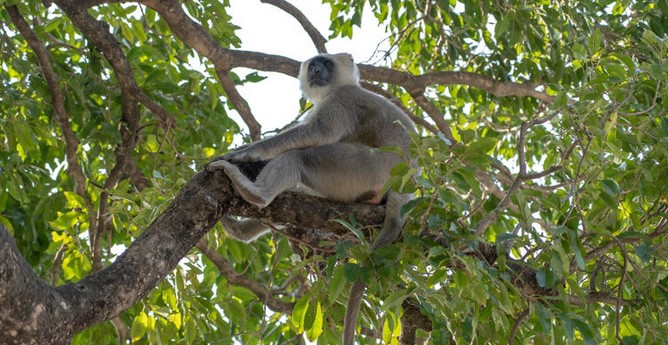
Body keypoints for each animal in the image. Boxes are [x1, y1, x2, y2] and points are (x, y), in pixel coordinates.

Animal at [206, 52, 414, 342]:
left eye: (326, 64)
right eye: (313, 65)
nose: (315, 70)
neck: (340, 86)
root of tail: (406, 184)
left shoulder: (343, 101)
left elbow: (316, 134)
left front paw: (242, 153)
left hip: (365, 168)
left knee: (298, 157)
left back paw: (255, 194)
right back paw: (241, 230)